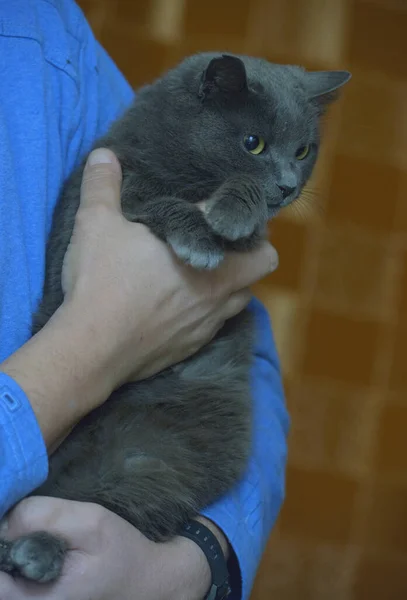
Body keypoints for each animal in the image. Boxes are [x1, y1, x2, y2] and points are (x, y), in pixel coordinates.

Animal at [0, 52, 350, 580]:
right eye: (253, 143)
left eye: (304, 149)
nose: (288, 186)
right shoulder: (110, 185)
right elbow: (154, 196)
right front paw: (204, 234)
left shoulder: (255, 244)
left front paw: (225, 217)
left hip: (151, 459)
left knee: (108, 506)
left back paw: (33, 553)